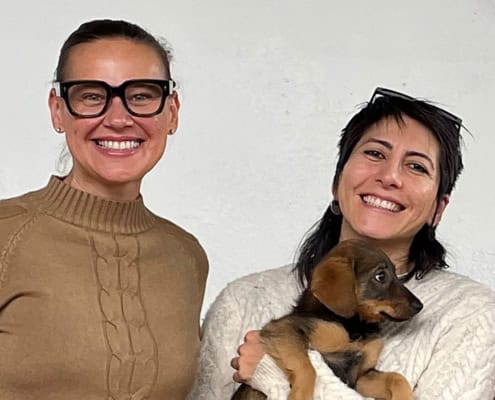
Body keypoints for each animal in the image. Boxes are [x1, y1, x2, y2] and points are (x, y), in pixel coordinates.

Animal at [232, 239, 422, 398]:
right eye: (380, 276)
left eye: (397, 274)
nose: (419, 306)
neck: (354, 326)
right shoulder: (283, 329)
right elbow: (307, 368)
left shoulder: (361, 377)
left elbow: (397, 377)